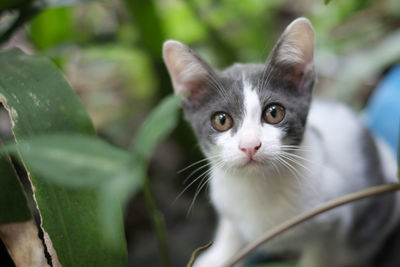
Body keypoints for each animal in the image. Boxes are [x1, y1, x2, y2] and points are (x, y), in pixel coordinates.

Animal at [162, 17, 400, 266]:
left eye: (274, 112)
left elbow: (318, 258)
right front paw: (220, 256)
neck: (257, 189)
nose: (250, 145)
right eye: (221, 120)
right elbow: (231, 230)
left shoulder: (333, 220)